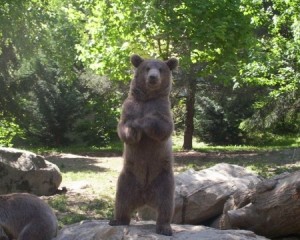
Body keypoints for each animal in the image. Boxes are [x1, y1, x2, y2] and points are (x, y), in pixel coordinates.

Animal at [109, 54, 178, 234]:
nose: (153, 77)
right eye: (147, 68)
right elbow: (123, 128)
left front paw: (143, 123)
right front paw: (134, 129)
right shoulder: (129, 107)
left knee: (166, 204)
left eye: (160, 68)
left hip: (163, 179)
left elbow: (163, 127)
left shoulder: (163, 109)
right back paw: (117, 220)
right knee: (122, 200)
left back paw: (164, 227)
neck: (147, 98)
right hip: (128, 178)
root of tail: (145, 196)